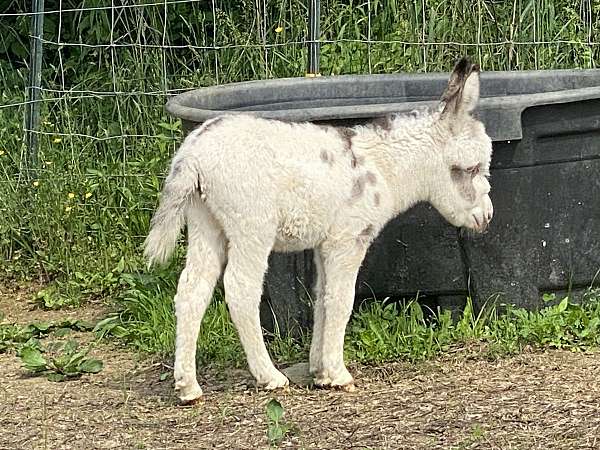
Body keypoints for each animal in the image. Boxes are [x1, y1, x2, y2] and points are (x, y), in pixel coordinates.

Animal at [144, 58, 492, 402]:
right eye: (470, 168)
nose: (487, 216)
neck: (382, 168)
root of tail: (193, 153)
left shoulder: (327, 243)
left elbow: (322, 297)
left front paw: (320, 371)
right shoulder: (348, 240)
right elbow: (341, 300)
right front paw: (338, 374)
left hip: (205, 222)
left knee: (192, 289)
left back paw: (188, 387)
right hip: (251, 227)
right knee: (240, 290)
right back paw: (269, 376)